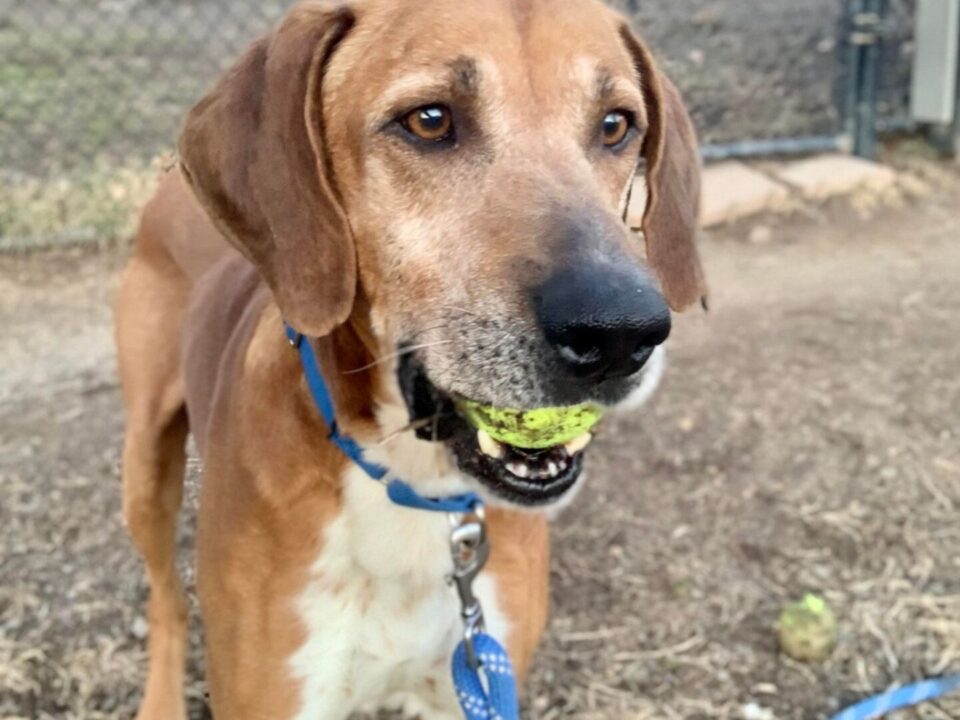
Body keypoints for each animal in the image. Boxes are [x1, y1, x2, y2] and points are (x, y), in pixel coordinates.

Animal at [114, 0, 706, 717]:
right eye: (430, 120)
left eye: (617, 125)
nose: (621, 332)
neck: (412, 486)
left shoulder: (472, 680)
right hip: (145, 468)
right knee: (166, 600)